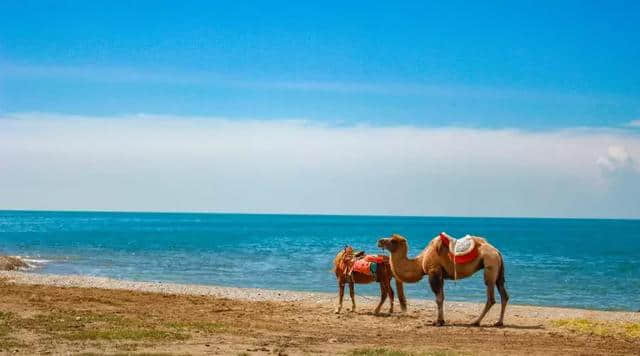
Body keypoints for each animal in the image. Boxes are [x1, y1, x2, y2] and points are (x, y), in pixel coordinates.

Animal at [378, 232, 508, 326]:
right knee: (504, 294)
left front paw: (438, 322)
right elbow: (442, 297)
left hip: (490, 264)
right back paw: (499, 322)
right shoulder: (440, 275)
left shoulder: (434, 272)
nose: (379, 241)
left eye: (393, 240)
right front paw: (441, 320)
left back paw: (476, 322)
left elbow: (438, 298)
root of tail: (497, 251)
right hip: (498, 269)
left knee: (491, 297)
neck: (420, 261)